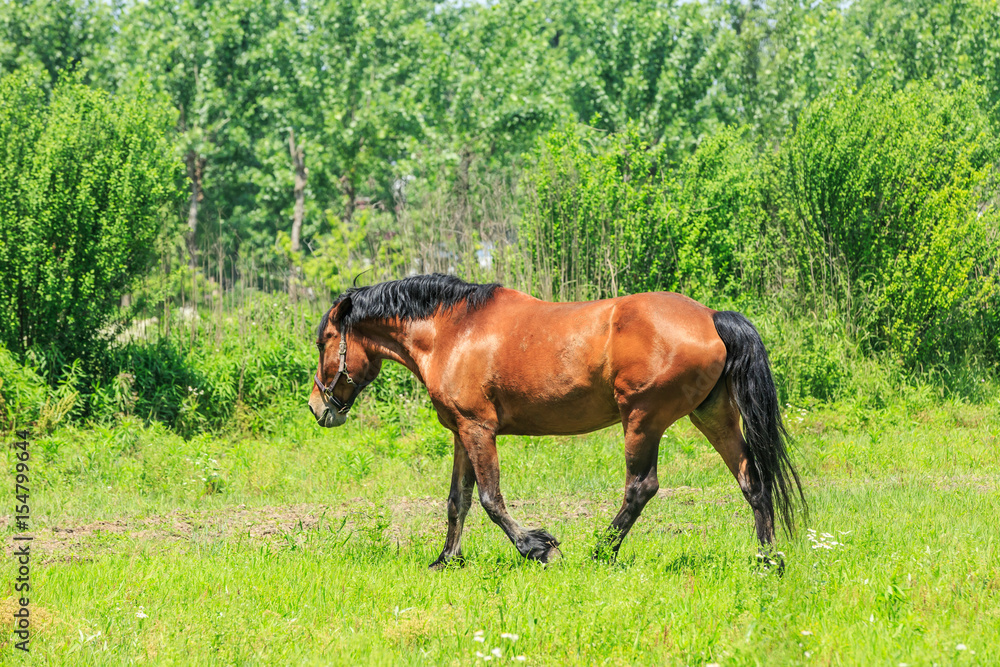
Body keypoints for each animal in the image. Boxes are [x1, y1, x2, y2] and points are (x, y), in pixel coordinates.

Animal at [304, 274, 804, 568]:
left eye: (324, 340)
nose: (317, 407)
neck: (453, 331)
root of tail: (712, 318)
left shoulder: (479, 430)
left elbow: (490, 499)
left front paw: (538, 548)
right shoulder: (462, 434)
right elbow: (457, 501)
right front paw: (445, 560)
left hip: (643, 419)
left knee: (641, 487)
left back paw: (600, 552)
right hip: (713, 416)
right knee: (752, 481)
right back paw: (768, 560)